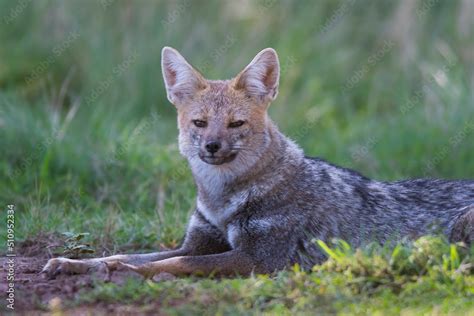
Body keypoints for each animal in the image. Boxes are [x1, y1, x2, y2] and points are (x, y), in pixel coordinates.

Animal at [41, 47, 474, 278]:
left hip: (457, 233)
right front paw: (74, 263)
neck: (222, 198)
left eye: (236, 123)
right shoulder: (200, 242)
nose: (212, 146)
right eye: (200, 123)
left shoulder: (258, 258)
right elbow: (123, 254)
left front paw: (129, 273)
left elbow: (177, 263)